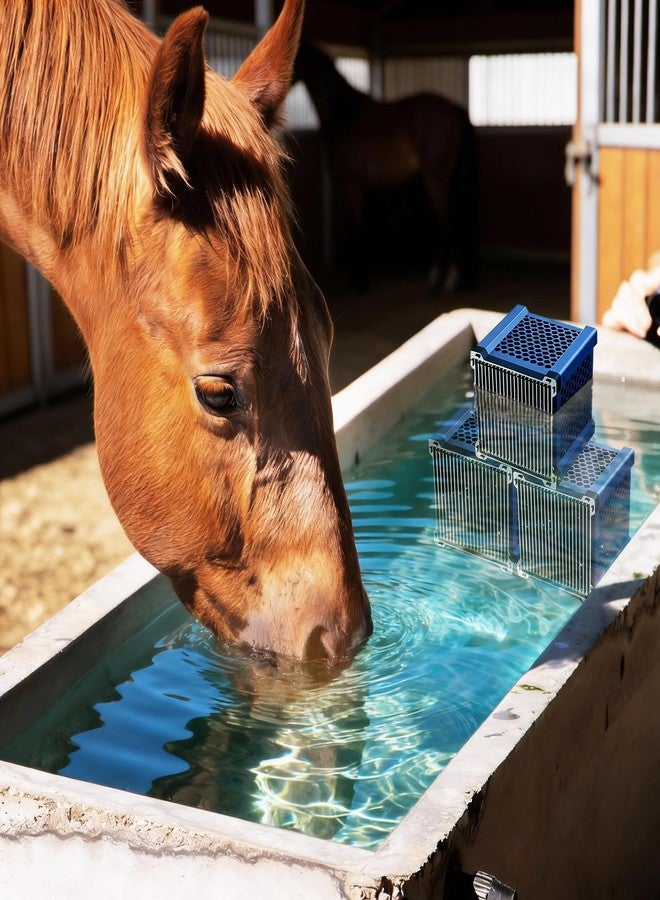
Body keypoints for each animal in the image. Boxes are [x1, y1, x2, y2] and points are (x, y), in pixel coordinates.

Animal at [293, 42, 479, 293]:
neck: (344, 113)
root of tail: (454, 109)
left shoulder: (351, 185)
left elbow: (356, 229)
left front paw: (358, 282)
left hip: (436, 178)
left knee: (446, 222)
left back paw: (440, 281)